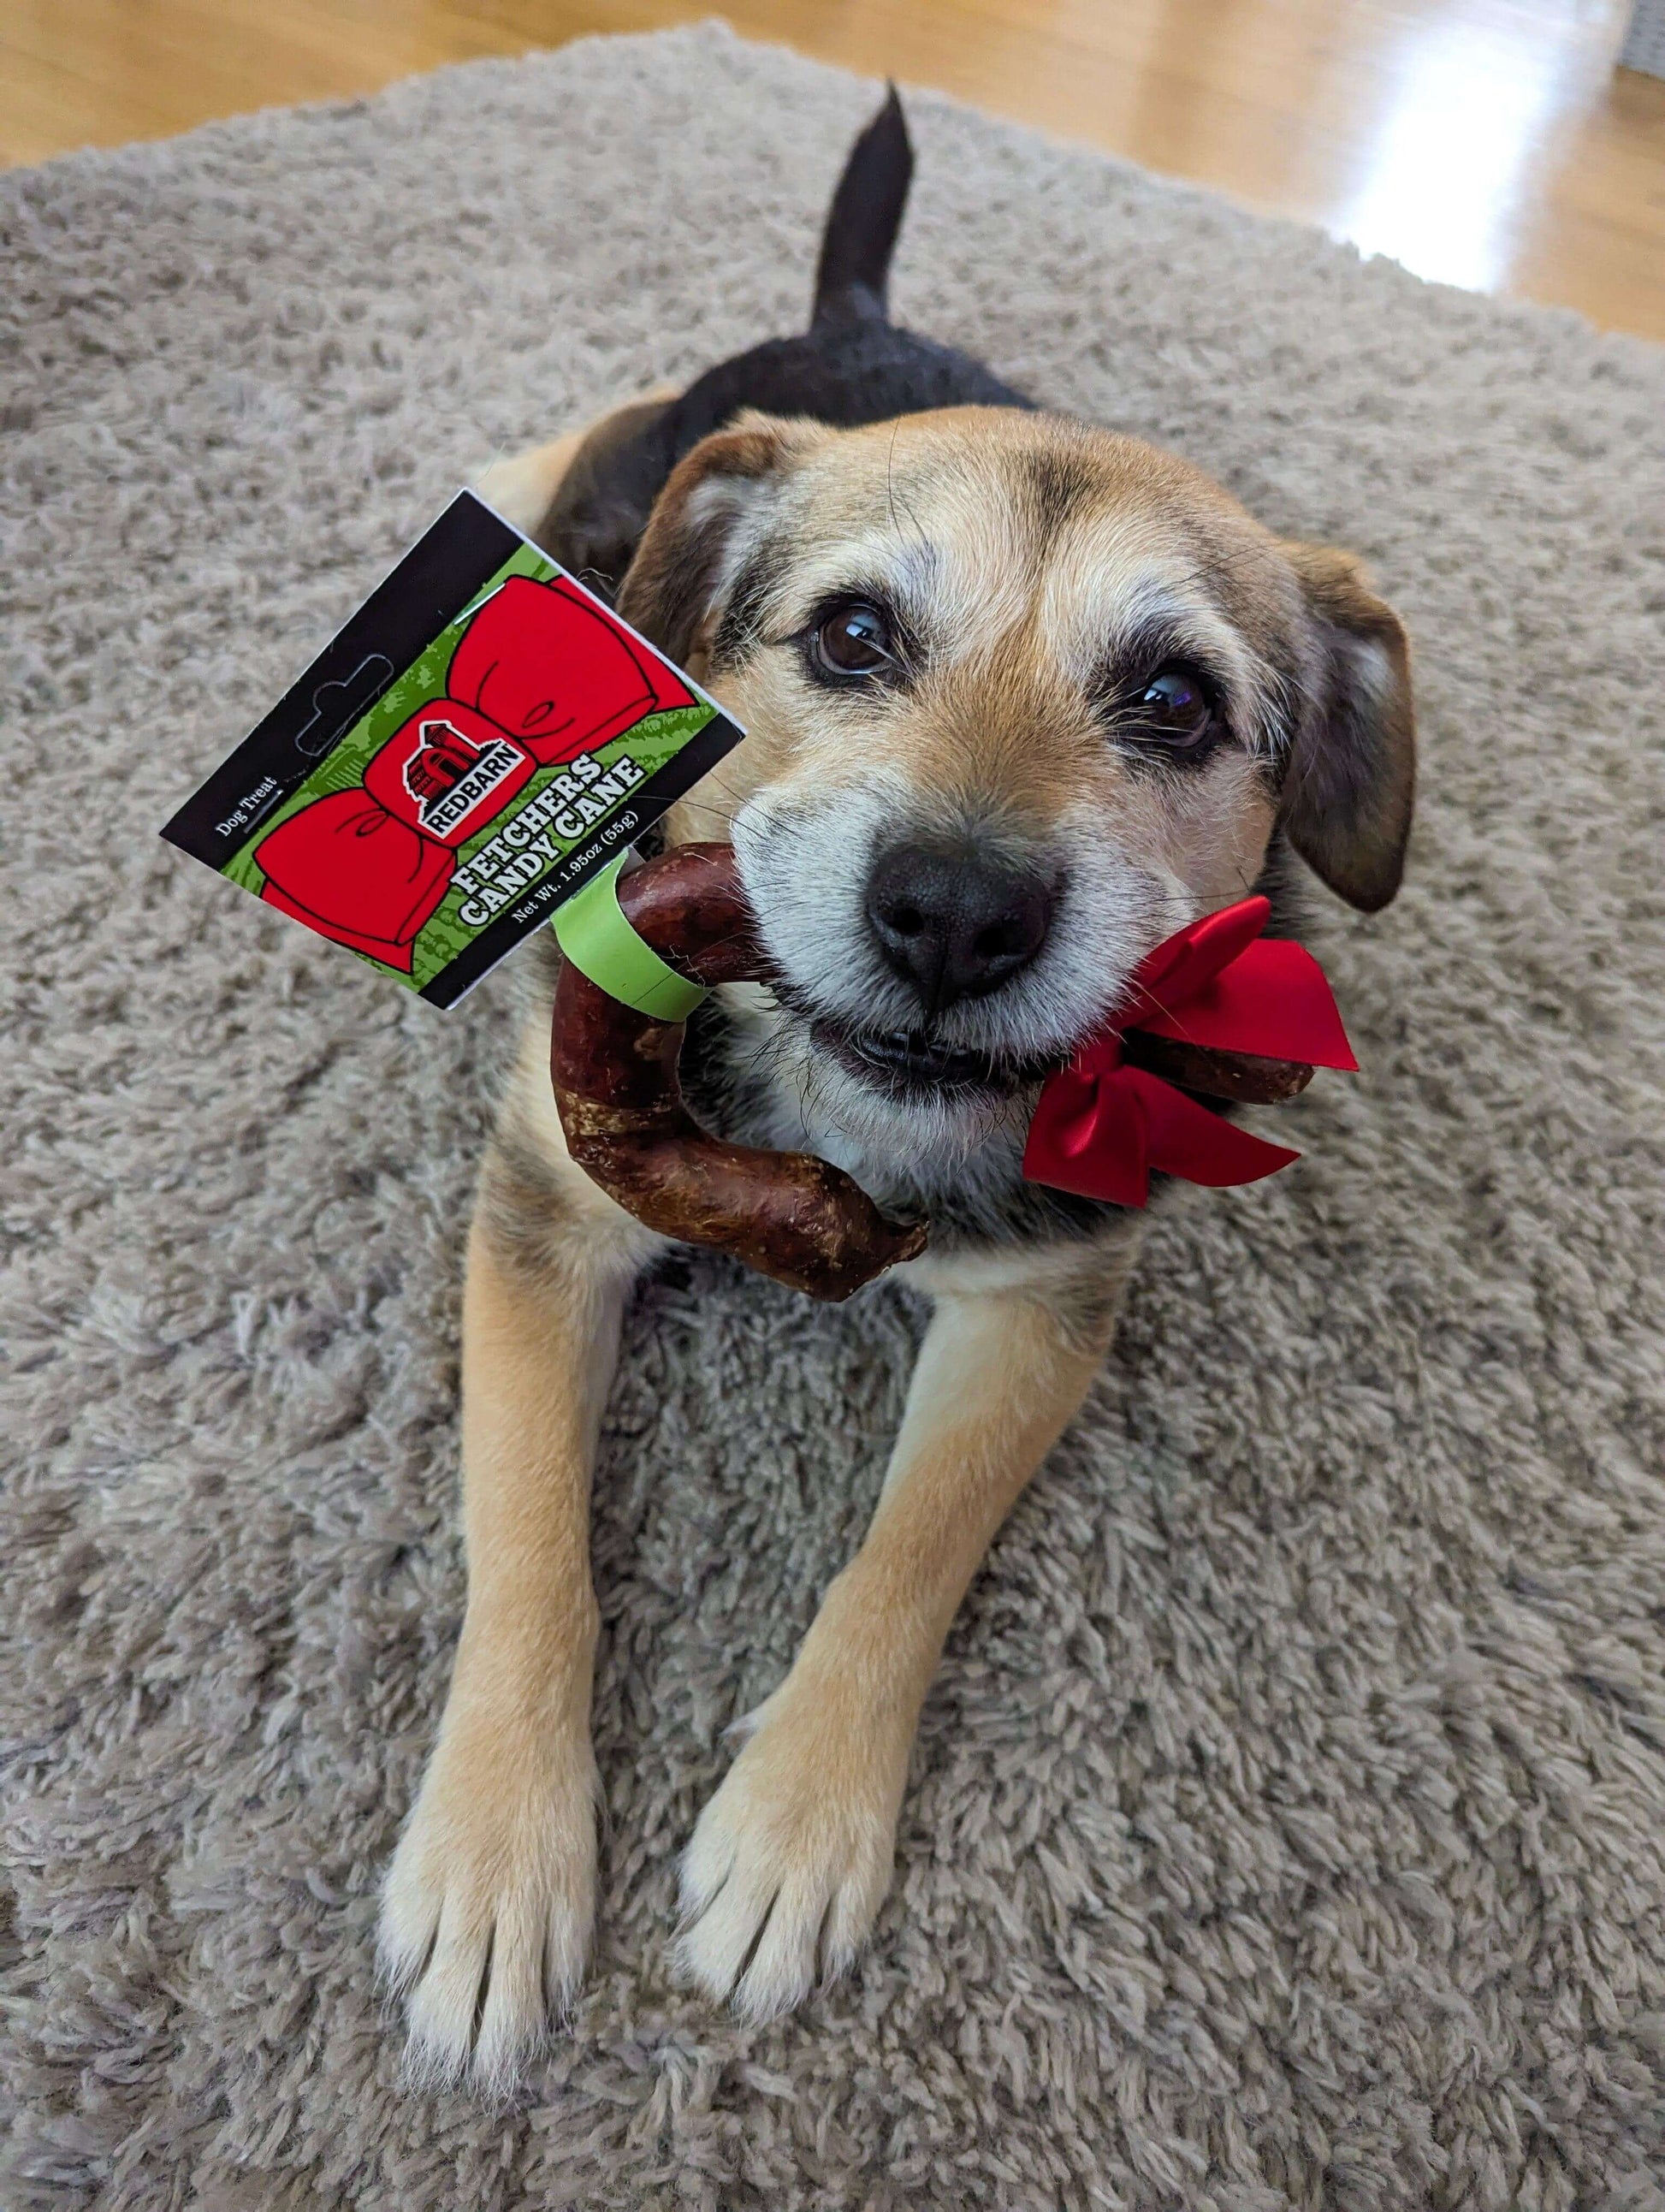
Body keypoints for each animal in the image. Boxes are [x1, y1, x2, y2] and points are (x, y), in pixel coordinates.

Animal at [380, 86, 1414, 2088]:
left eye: (1176, 701)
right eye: (852, 637)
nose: (952, 912)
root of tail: (851, 318)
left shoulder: (1044, 1306)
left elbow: (908, 1557)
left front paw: (795, 1825)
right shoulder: (550, 1204)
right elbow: (524, 1531)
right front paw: (493, 1853)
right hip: (638, 457)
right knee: (589, 445)